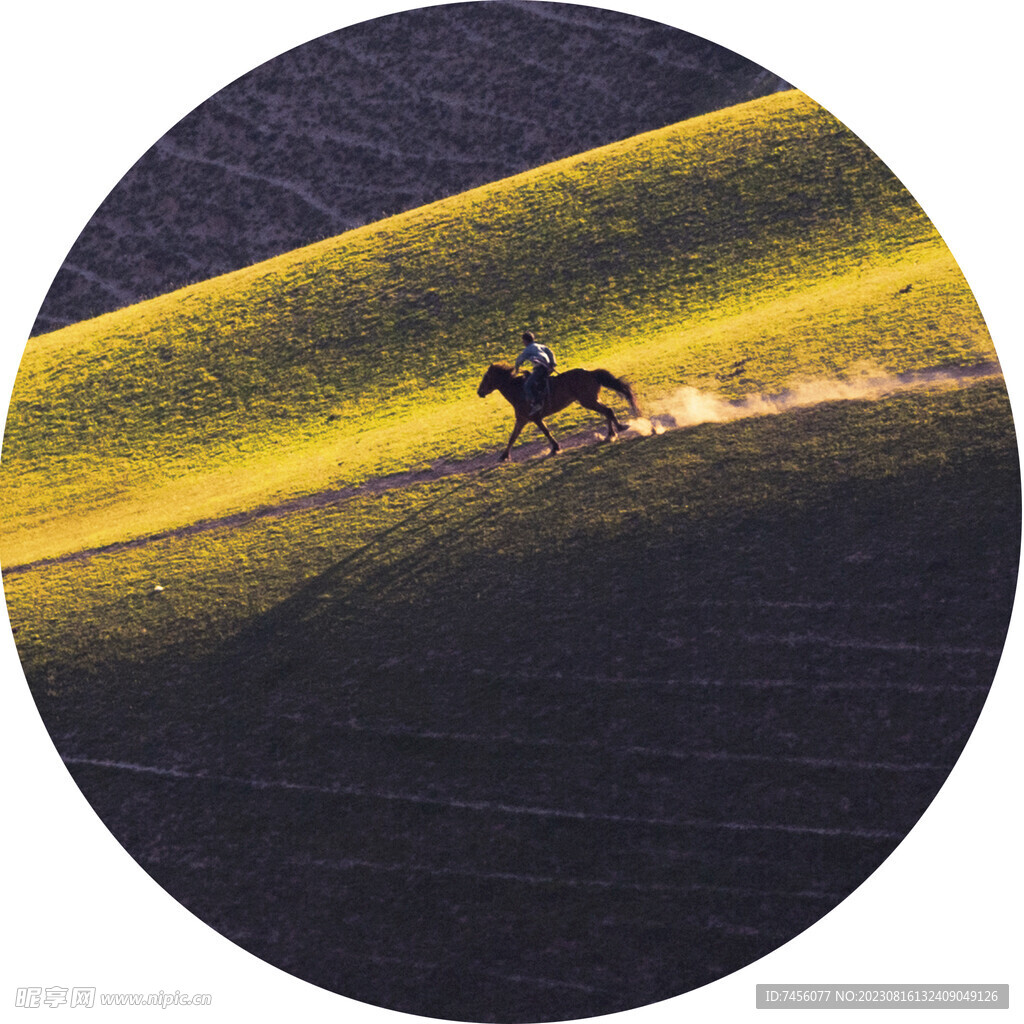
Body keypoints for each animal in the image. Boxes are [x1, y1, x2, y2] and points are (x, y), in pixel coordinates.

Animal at [473, 364, 634, 460]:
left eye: (486, 378)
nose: (479, 392)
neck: (518, 390)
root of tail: (590, 373)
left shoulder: (534, 418)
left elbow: (546, 432)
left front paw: (555, 448)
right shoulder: (522, 419)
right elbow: (513, 437)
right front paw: (504, 456)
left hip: (588, 401)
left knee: (608, 411)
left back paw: (618, 429)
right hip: (592, 400)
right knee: (607, 411)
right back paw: (612, 433)